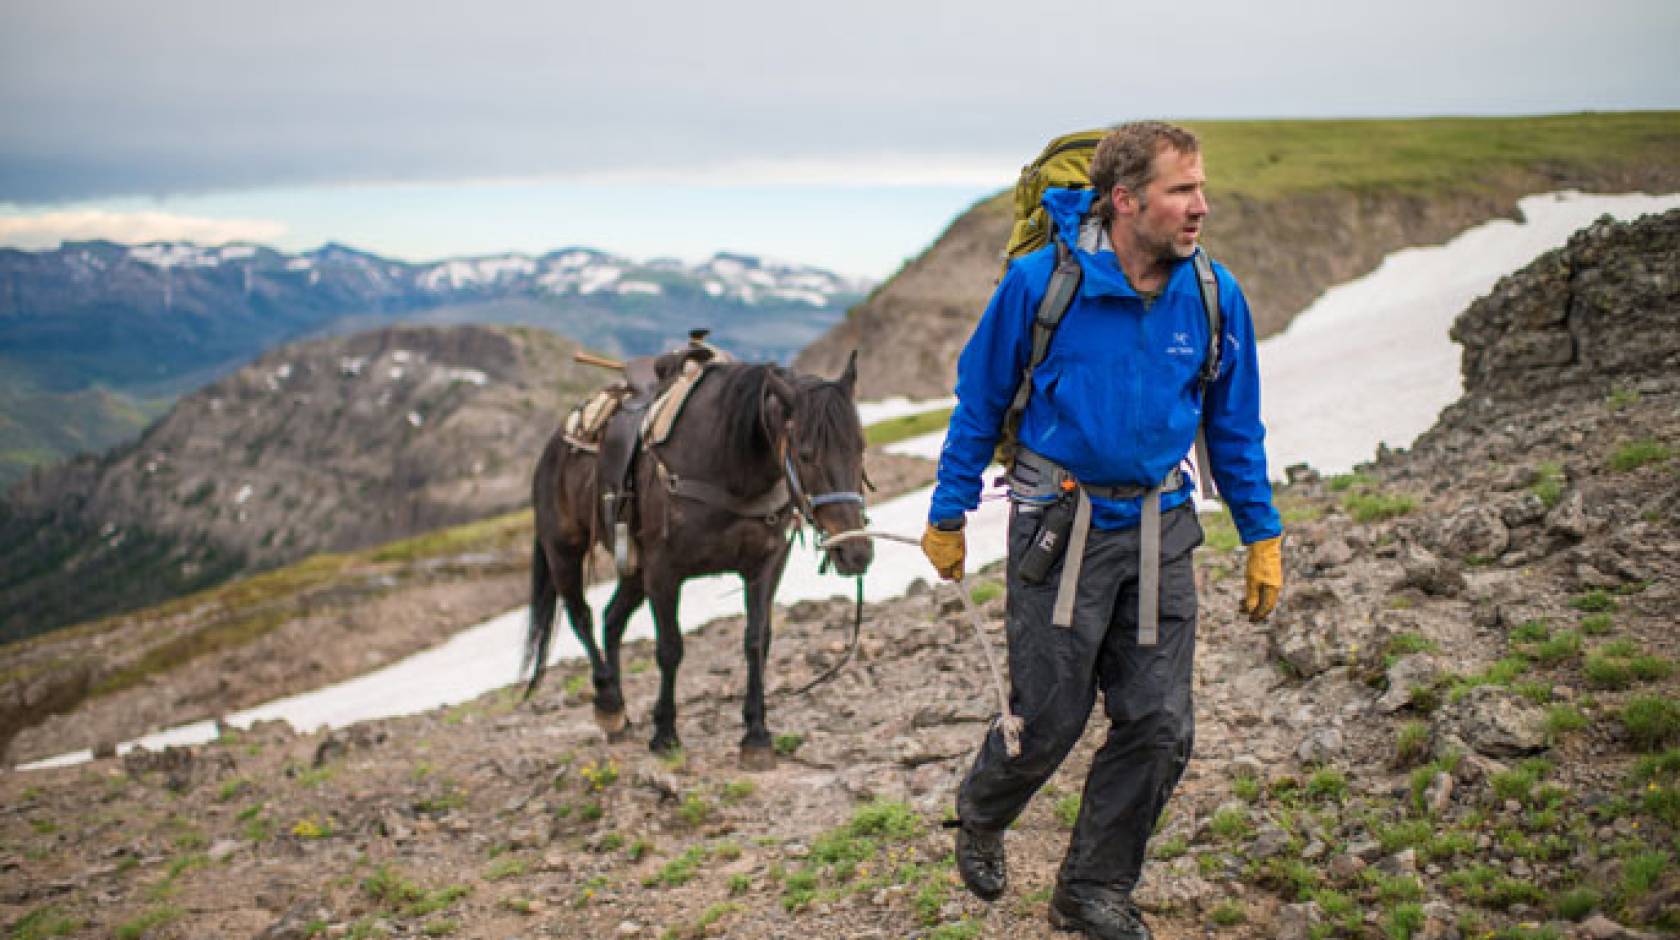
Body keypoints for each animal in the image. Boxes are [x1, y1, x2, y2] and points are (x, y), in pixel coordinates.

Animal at [520, 355, 866, 768]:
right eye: (806, 453)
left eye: (860, 447)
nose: (856, 553)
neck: (727, 466)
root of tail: (553, 447)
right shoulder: (664, 573)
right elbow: (670, 648)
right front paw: (665, 735)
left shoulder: (764, 566)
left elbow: (756, 641)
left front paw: (756, 736)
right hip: (564, 552)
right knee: (582, 617)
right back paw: (609, 705)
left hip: (633, 571)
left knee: (612, 618)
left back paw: (622, 717)